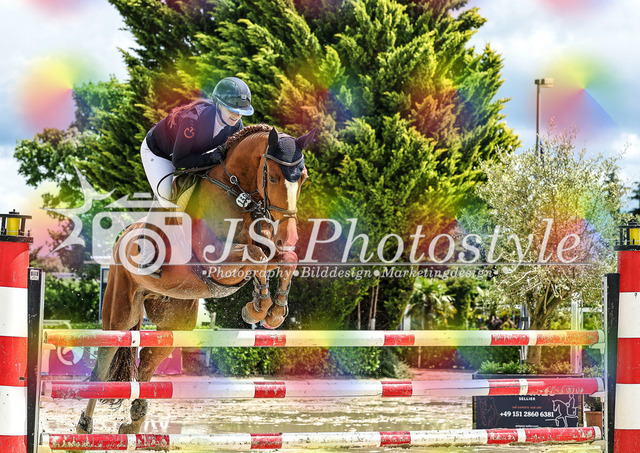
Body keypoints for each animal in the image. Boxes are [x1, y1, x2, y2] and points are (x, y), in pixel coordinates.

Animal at [76, 124, 314, 435]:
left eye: (304, 178)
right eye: (273, 176)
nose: (288, 236)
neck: (238, 196)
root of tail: (121, 239)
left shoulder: (268, 250)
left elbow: (286, 259)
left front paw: (274, 312)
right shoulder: (218, 263)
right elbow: (255, 256)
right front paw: (258, 308)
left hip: (175, 318)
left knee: (148, 362)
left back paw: (134, 423)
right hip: (121, 312)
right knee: (106, 358)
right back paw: (85, 425)